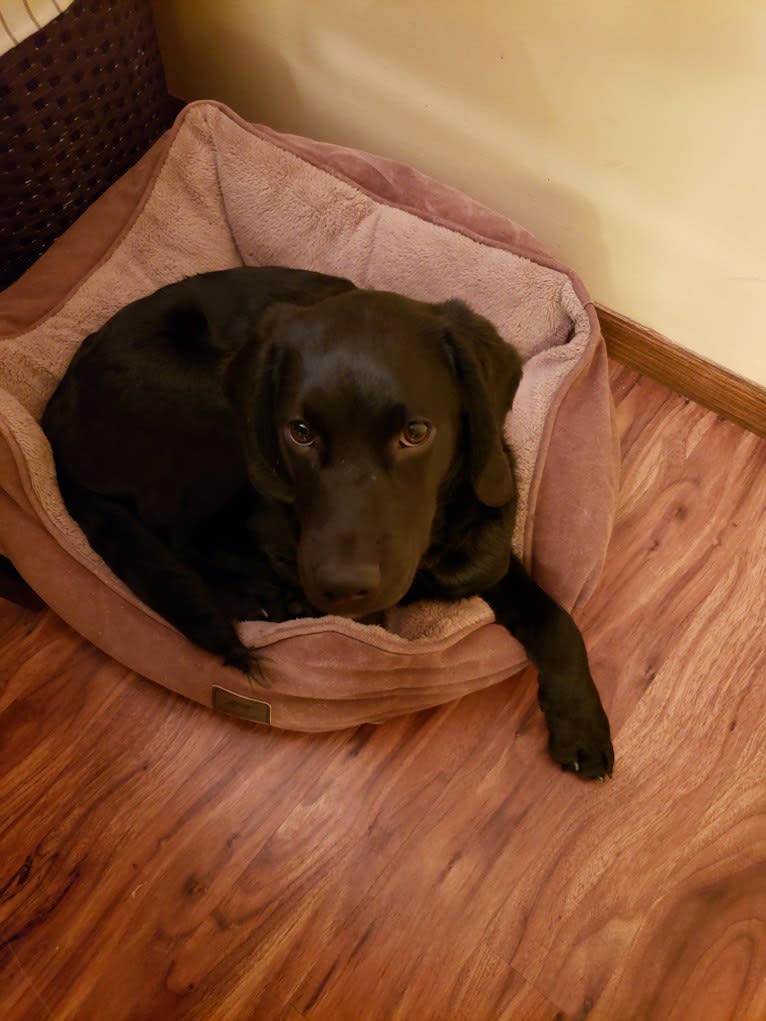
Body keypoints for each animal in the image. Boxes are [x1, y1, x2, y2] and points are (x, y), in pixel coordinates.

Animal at [43, 267, 616, 775]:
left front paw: (582, 725)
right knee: (179, 536)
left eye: (415, 432)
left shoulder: (488, 559)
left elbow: (557, 620)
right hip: (212, 415)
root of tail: (52, 412)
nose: (342, 587)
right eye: (299, 432)